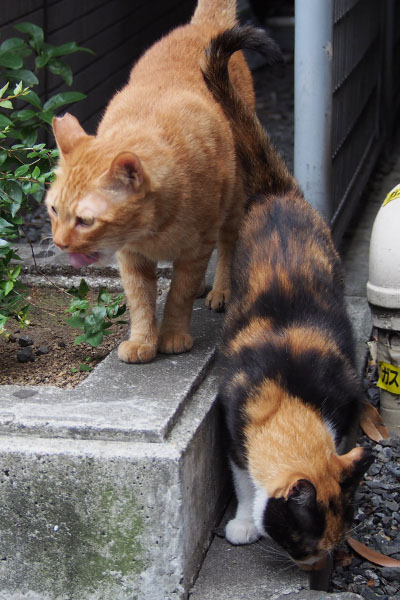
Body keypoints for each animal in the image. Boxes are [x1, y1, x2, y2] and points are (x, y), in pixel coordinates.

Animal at [45, 0, 255, 364]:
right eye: (55, 211)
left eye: (86, 220)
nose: (59, 244)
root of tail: (201, 27)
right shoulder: (130, 257)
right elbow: (141, 300)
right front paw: (143, 340)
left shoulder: (197, 248)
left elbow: (179, 294)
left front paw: (172, 335)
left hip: (233, 202)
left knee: (228, 245)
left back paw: (220, 290)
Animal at [202, 27, 374, 572]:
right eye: (303, 540)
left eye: (339, 537)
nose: (315, 565)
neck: (287, 395)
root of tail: (277, 192)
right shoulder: (232, 423)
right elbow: (243, 480)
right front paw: (242, 522)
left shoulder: (343, 401)